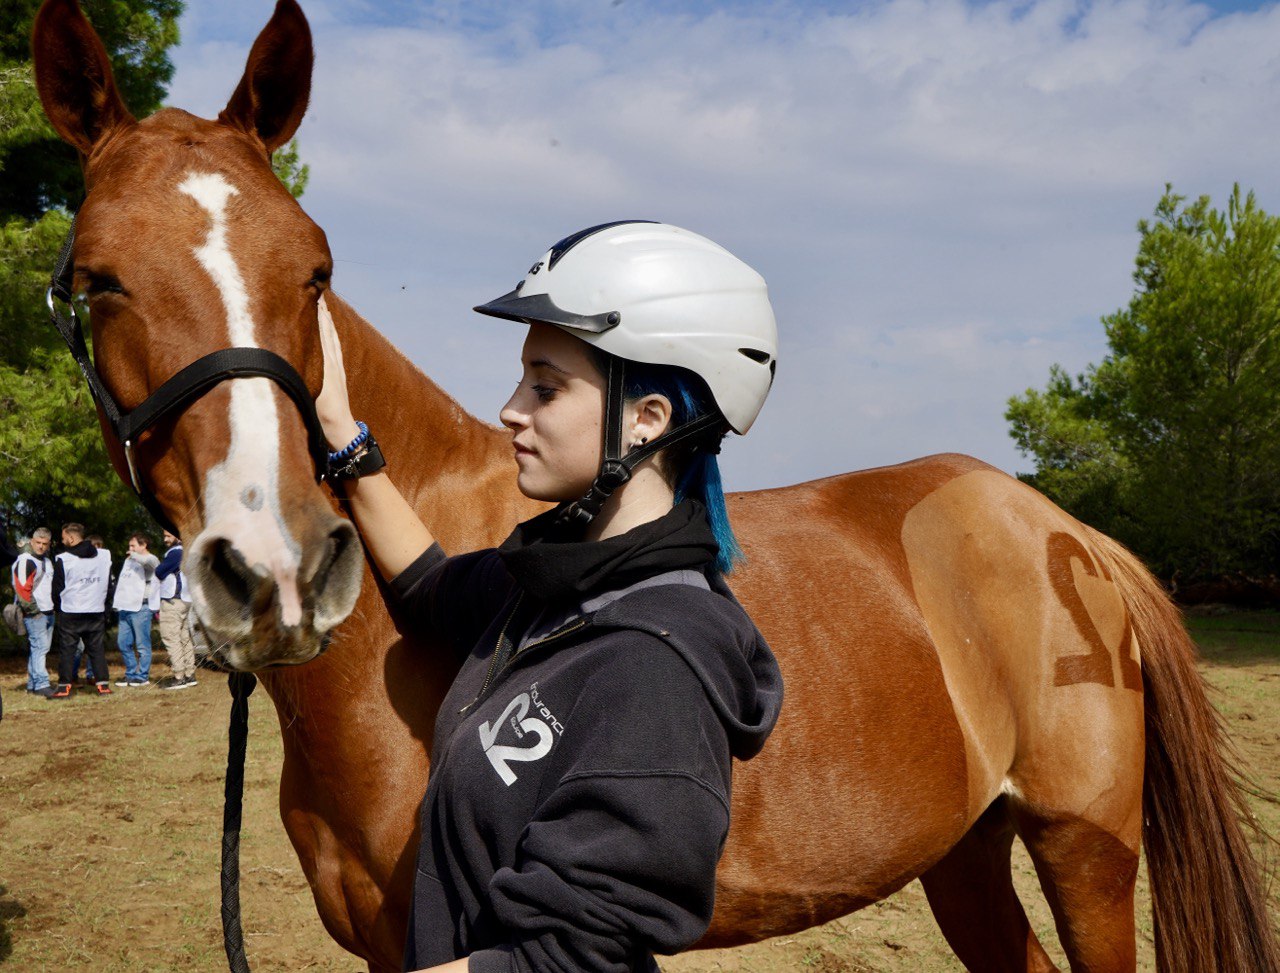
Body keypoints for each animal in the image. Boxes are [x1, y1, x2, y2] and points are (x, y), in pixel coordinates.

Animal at [32, 1, 1279, 971]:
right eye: (96, 280)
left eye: (314, 268)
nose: (278, 570)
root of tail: (1064, 531)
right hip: (965, 852)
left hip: (1082, 850)